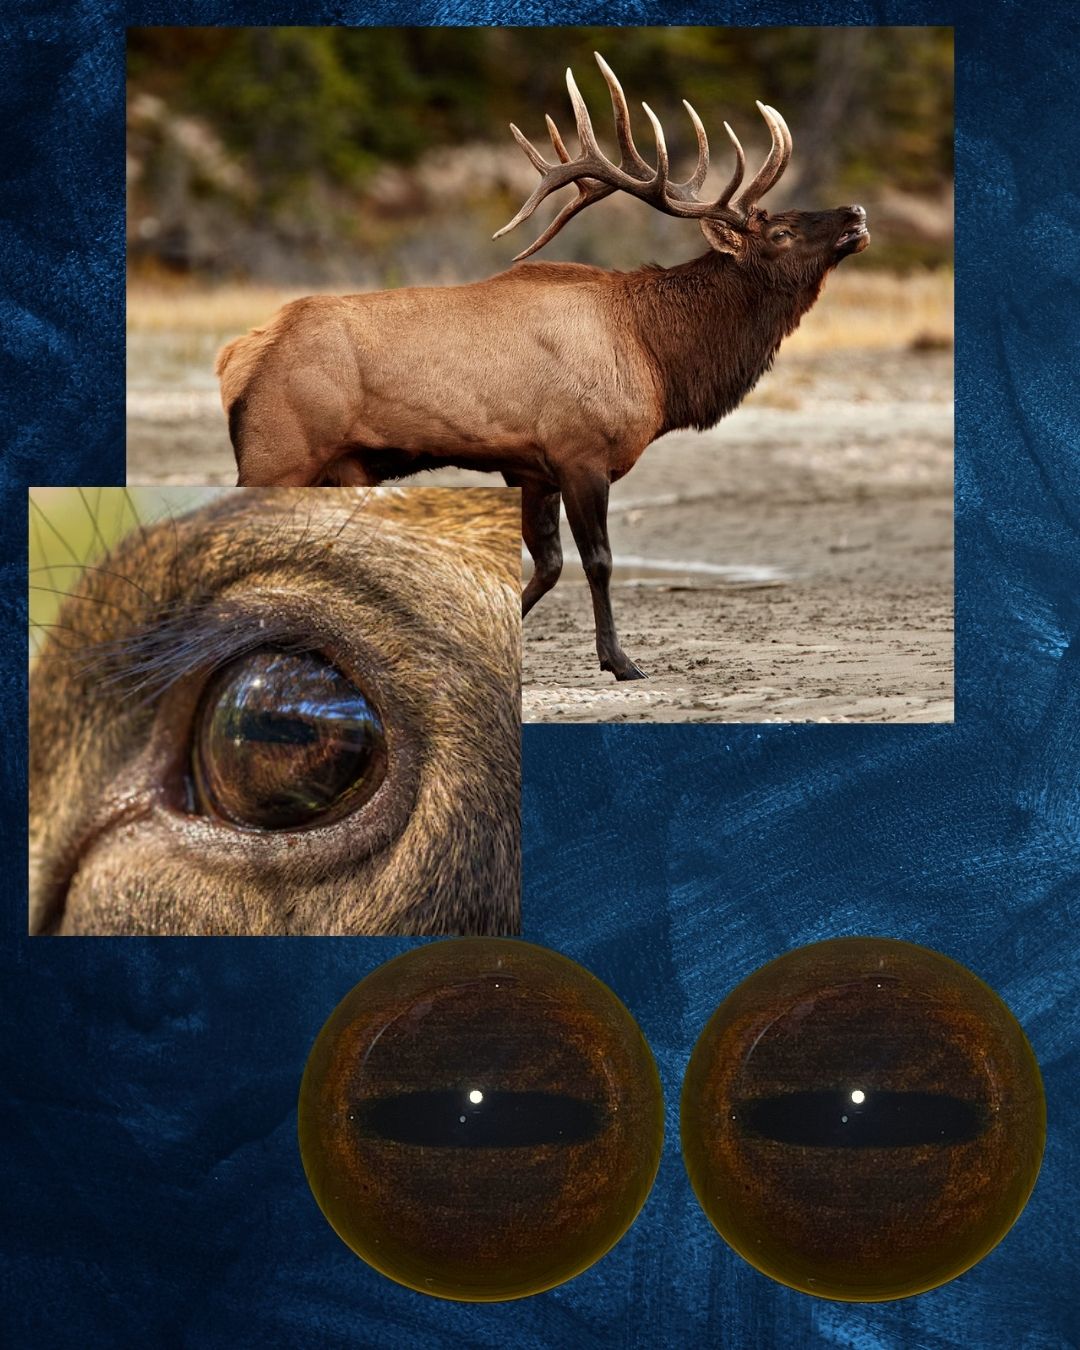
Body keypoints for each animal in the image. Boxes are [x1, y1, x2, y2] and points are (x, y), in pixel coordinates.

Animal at [217, 54, 870, 681]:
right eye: (781, 230)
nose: (856, 213)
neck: (657, 357)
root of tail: (237, 357)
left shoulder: (531, 467)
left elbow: (548, 564)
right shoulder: (580, 450)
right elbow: (597, 561)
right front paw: (620, 661)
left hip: (340, 467)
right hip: (278, 451)